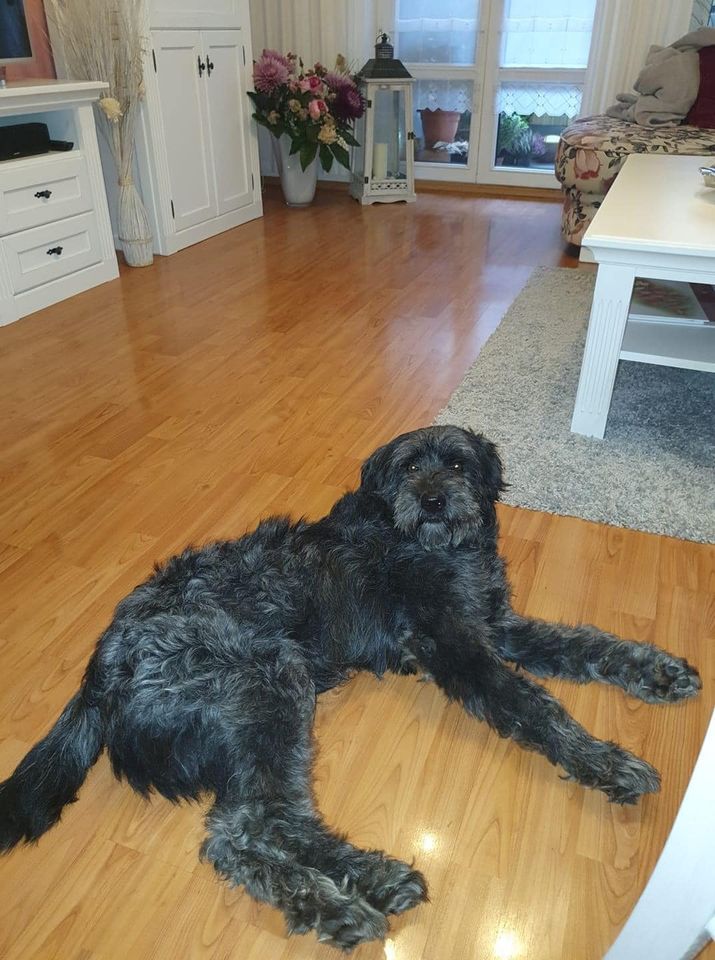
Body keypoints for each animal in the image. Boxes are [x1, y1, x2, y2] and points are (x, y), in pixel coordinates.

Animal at [0, 426, 701, 949]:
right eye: (408, 467)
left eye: (456, 462)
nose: (433, 500)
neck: (425, 541)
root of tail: (102, 663)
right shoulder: (459, 650)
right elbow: (537, 707)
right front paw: (607, 763)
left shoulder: (498, 627)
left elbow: (587, 644)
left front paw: (660, 672)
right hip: (270, 682)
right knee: (245, 828)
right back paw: (350, 897)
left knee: (252, 828)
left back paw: (368, 883)